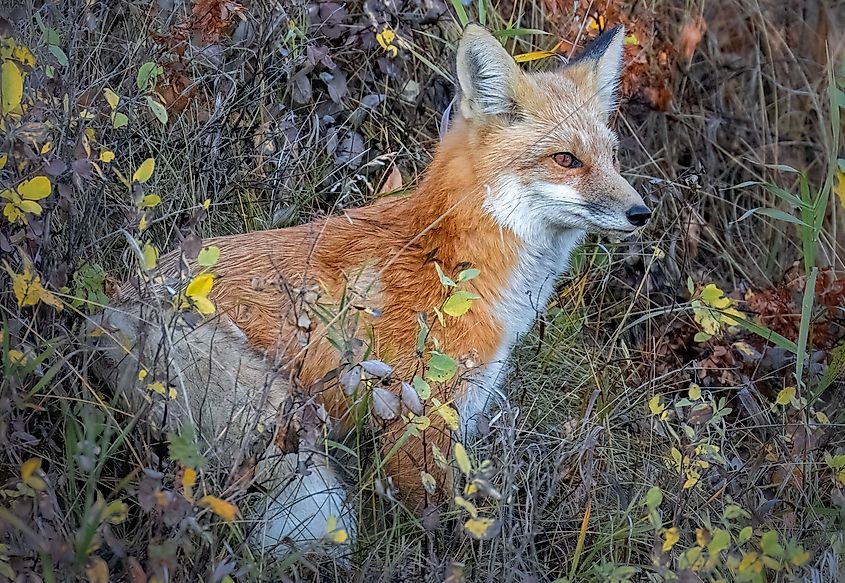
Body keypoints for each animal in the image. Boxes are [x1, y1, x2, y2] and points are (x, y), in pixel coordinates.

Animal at [91, 23, 649, 549]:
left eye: (611, 157)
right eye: (566, 160)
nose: (640, 214)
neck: (453, 261)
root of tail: (108, 313)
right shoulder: (415, 418)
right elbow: (435, 525)